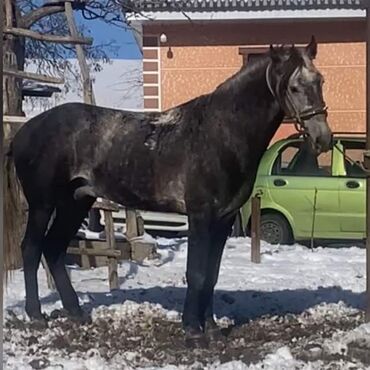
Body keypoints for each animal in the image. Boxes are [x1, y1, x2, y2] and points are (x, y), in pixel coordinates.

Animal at [3, 36, 332, 346]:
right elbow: (197, 274)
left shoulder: (223, 220)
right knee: (32, 249)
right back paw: (36, 314)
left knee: (54, 249)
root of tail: (24, 132)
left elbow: (211, 274)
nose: (323, 139)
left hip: (76, 203)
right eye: (293, 87)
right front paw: (193, 332)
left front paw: (212, 329)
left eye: (320, 81)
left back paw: (76, 312)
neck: (220, 133)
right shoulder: (200, 216)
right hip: (43, 204)